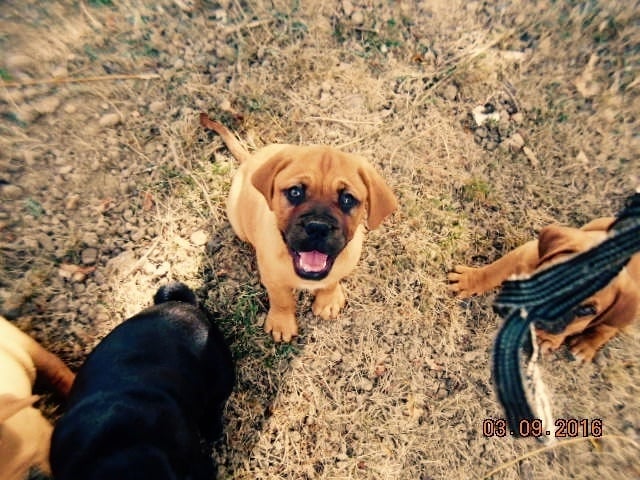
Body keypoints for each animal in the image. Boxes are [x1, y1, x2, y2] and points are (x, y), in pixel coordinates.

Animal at [202, 113, 398, 342]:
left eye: (347, 199)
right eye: (295, 192)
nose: (318, 228)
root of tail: (250, 160)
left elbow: (331, 281)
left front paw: (327, 300)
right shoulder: (274, 279)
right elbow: (282, 299)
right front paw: (282, 322)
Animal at [450, 218, 640, 360]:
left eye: (587, 310)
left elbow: (568, 329)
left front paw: (547, 338)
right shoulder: (525, 253)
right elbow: (495, 270)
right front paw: (469, 280)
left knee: (609, 327)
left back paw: (586, 345)